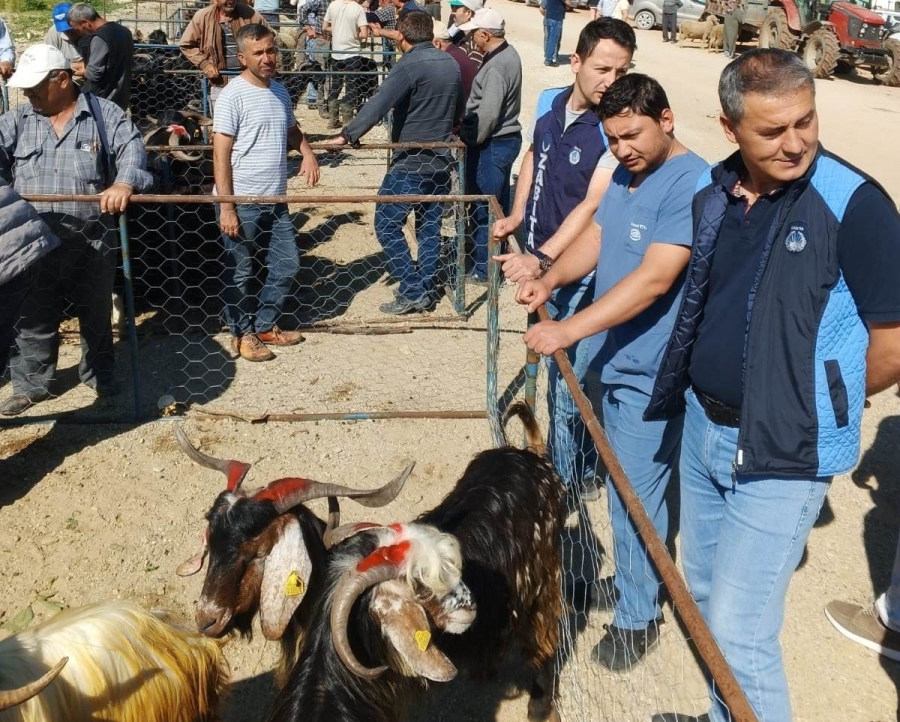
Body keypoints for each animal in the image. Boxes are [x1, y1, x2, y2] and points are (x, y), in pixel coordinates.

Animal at [266, 404, 564, 720]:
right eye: (420, 588)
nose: (472, 608)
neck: (326, 686)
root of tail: (530, 456)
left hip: (545, 575)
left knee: (546, 638)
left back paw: (539, 706)